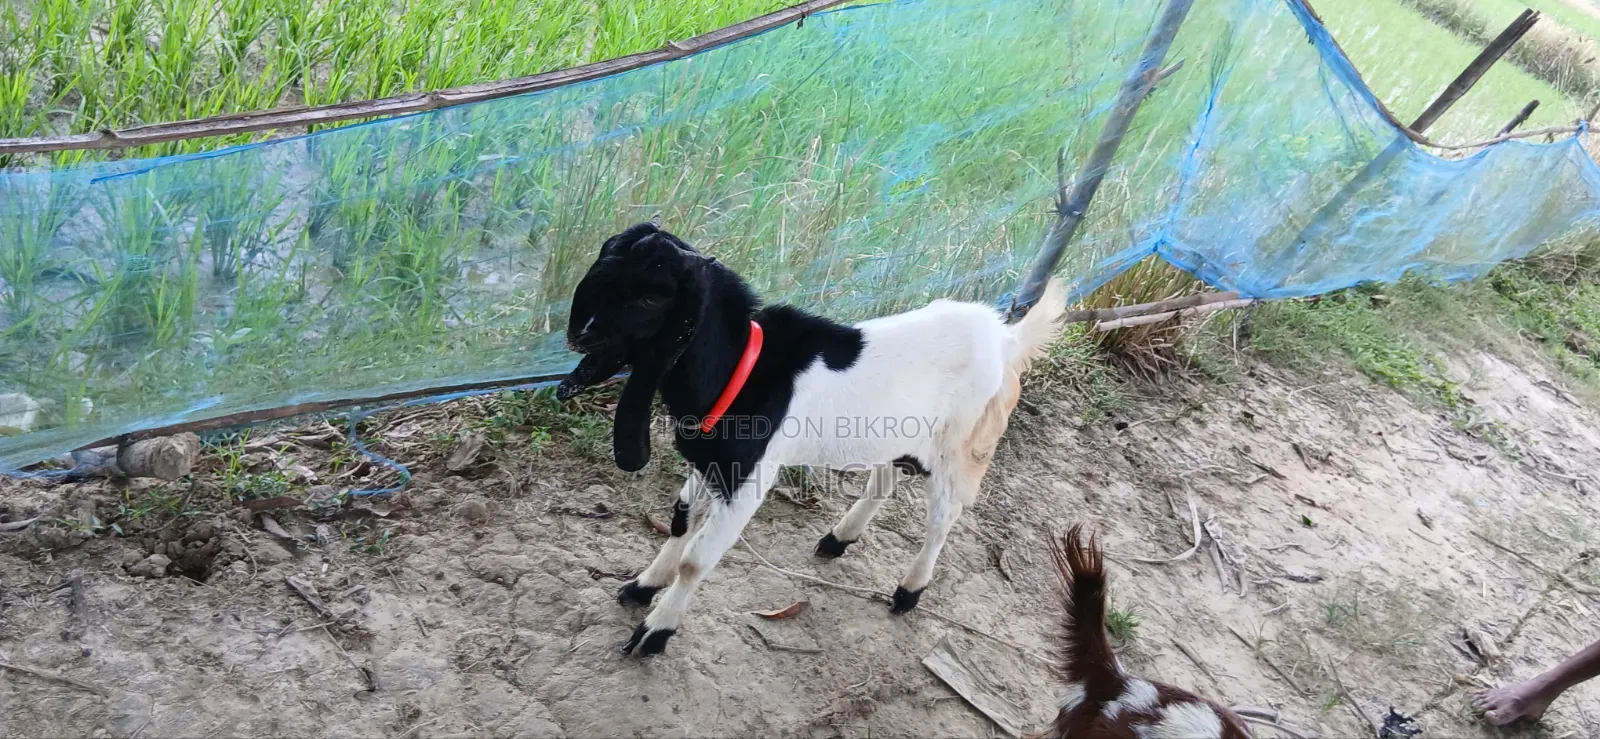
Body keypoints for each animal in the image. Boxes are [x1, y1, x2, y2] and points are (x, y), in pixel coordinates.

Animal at [557, 221, 1067, 657]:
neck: (742, 370)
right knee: (883, 480)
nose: (578, 335)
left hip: (959, 445)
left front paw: (654, 633)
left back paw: (908, 592)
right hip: (899, 433)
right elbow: (681, 521)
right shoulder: (710, 460)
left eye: (649, 298)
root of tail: (1006, 338)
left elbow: (696, 560)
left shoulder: (749, 479)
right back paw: (839, 538)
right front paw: (642, 586)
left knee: (943, 518)